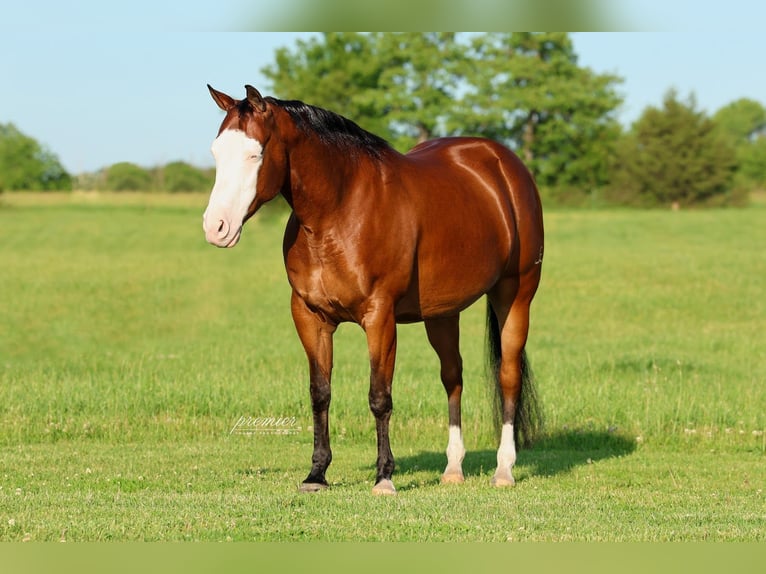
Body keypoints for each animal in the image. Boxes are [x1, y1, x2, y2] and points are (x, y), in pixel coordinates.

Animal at [203, 85, 544, 495]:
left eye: (255, 154)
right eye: (216, 152)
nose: (216, 227)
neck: (339, 211)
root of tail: (503, 164)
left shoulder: (380, 317)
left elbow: (379, 397)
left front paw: (384, 476)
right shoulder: (309, 317)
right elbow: (320, 394)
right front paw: (316, 474)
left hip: (515, 294)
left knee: (508, 375)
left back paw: (504, 469)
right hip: (443, 313)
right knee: (453, 377)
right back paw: (453, 468)